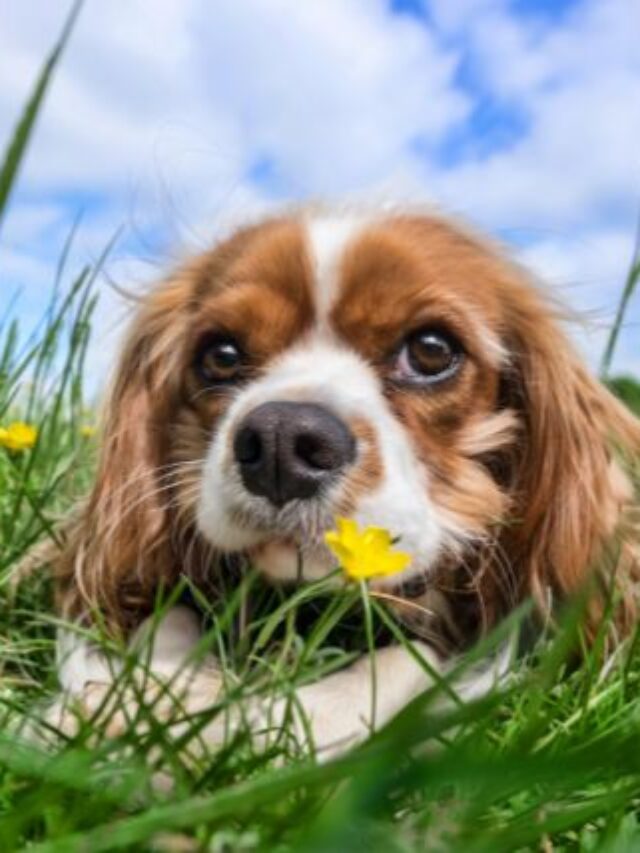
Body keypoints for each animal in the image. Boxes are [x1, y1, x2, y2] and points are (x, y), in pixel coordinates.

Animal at [46, 206, 640, 760]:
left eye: (431, 349)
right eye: (221, 355)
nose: (281, 441)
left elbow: (406, 660)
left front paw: (236, 724)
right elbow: (164, 617)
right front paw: (139, 697)